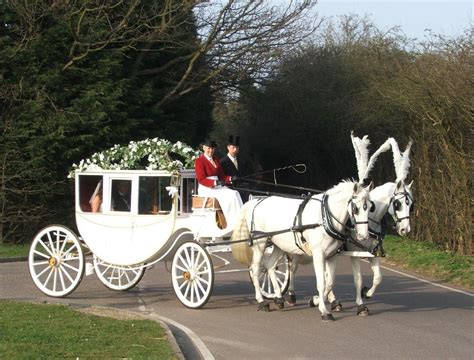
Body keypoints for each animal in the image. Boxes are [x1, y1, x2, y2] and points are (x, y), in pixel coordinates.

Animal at [233, 181, 374, 322]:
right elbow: (321, 283)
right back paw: (261, 302)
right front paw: (324, 311)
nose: (363, 236)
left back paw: (278, 299)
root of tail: (256, 202)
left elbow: (330, 282)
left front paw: (316, 300)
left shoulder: (332, 255)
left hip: (278, 244)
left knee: (270, 266)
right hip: (260, 243)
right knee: (255, 269)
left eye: (370, 207)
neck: (323, 218)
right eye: (356, 208)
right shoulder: (318, 255)